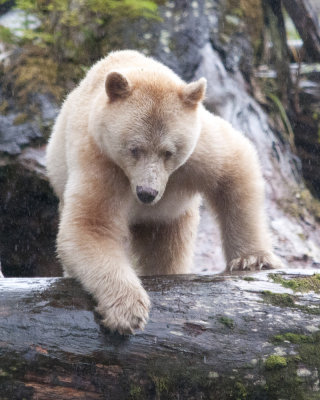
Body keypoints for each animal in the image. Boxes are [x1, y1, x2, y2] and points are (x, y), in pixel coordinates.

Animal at [46, 51, 282, 336]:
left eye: (168, 152)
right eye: (134, 149)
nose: (147, 193)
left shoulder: (195, 152)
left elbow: (234, 166)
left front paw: (252, 259)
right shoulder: (102, 162)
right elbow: (91, 226)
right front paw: (128, 311)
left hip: (172, 218)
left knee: (169, 250)